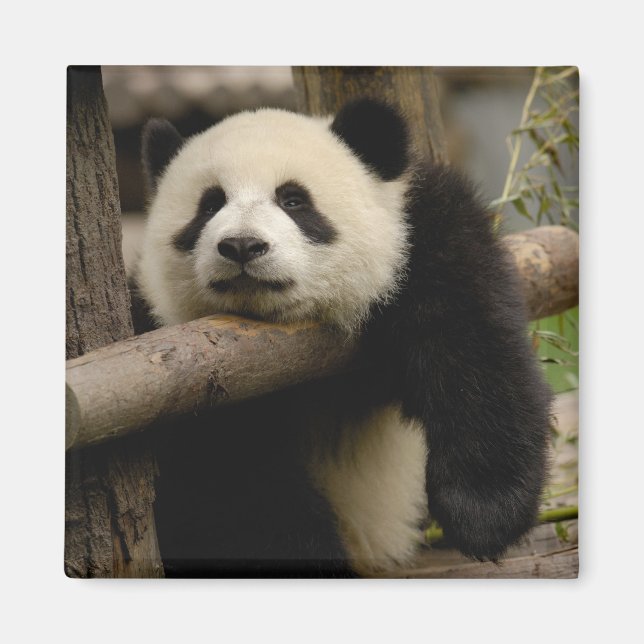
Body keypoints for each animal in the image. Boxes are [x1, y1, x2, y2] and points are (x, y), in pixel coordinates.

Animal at [131, 98, 551, 578]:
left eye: (293, 200)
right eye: (209, 204)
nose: (241, 246)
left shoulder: (422, 237)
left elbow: (474, 345)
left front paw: (483, 515)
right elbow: (229, 481)